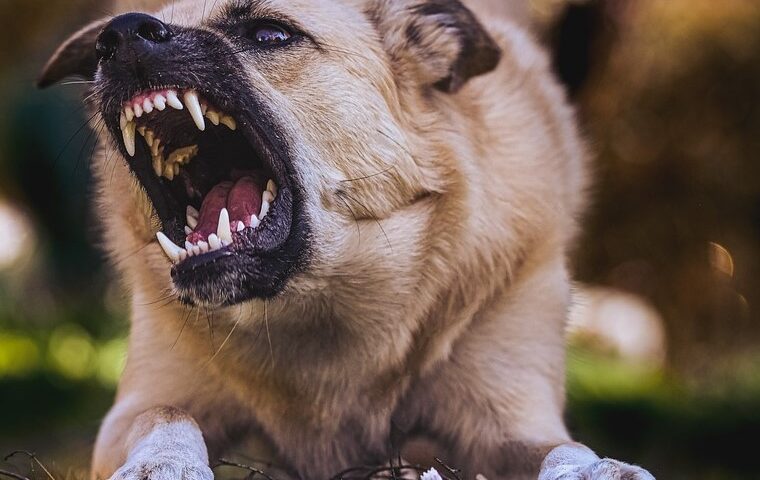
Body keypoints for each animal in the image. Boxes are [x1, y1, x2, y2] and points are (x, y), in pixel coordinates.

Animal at [37, 0, 652, 480]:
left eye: (270, 33)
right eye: (105, 42)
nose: (118, 36)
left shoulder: (508, 422)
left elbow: (565, 448)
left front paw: (602, 468)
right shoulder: (140, 405)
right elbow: (166, 416)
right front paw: (159, 464)